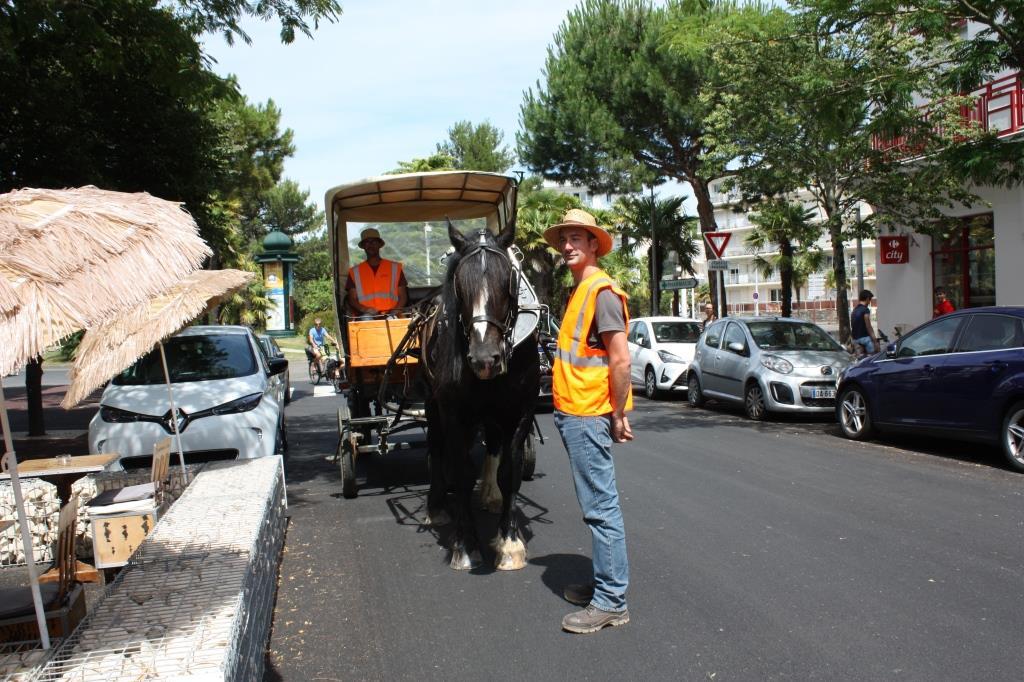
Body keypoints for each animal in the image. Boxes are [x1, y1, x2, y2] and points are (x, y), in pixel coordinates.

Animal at [417, 218, 540, 569]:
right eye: (460, 284)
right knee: (436, 446)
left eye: (508, 280)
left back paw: (490, 495)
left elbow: (510, 470)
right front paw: (465, 543)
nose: (485, 359)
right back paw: (436, 505)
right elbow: (459, 471)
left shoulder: (521, 410)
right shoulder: (453, 413)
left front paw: (509, 541)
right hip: (432, 403)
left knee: (493, 446)